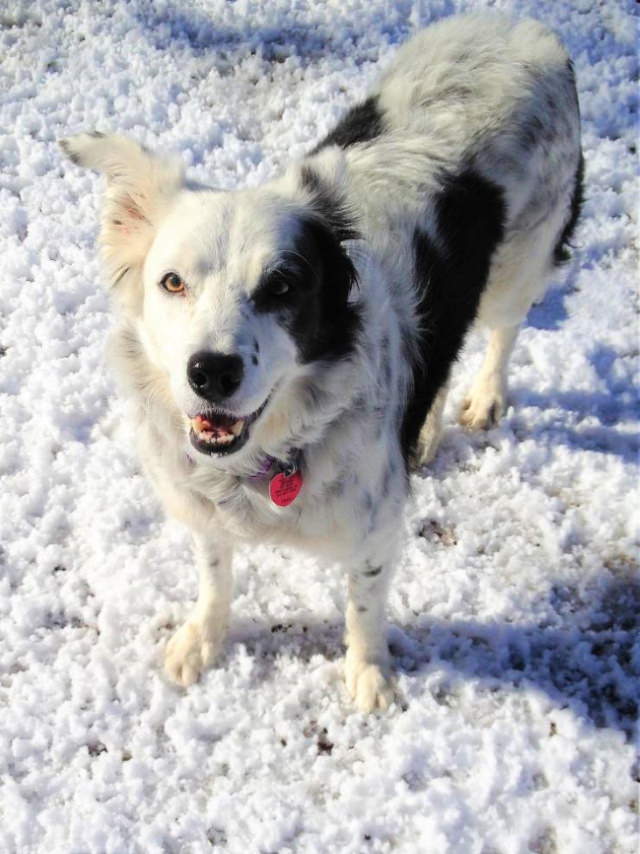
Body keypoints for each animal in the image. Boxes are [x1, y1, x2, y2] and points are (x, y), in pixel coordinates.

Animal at [62, 13, 584, 712]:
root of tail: (522, 22)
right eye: (172, 282)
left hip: (520, 261)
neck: (269, 456)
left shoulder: (377, 527)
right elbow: (214, 573)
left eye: (282, 286)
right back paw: (424, 433)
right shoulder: (205, 509)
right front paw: (203, 640)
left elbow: (363, 606)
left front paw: (369, 675)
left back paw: (484, 398)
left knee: (502, 328)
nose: (211, 372)